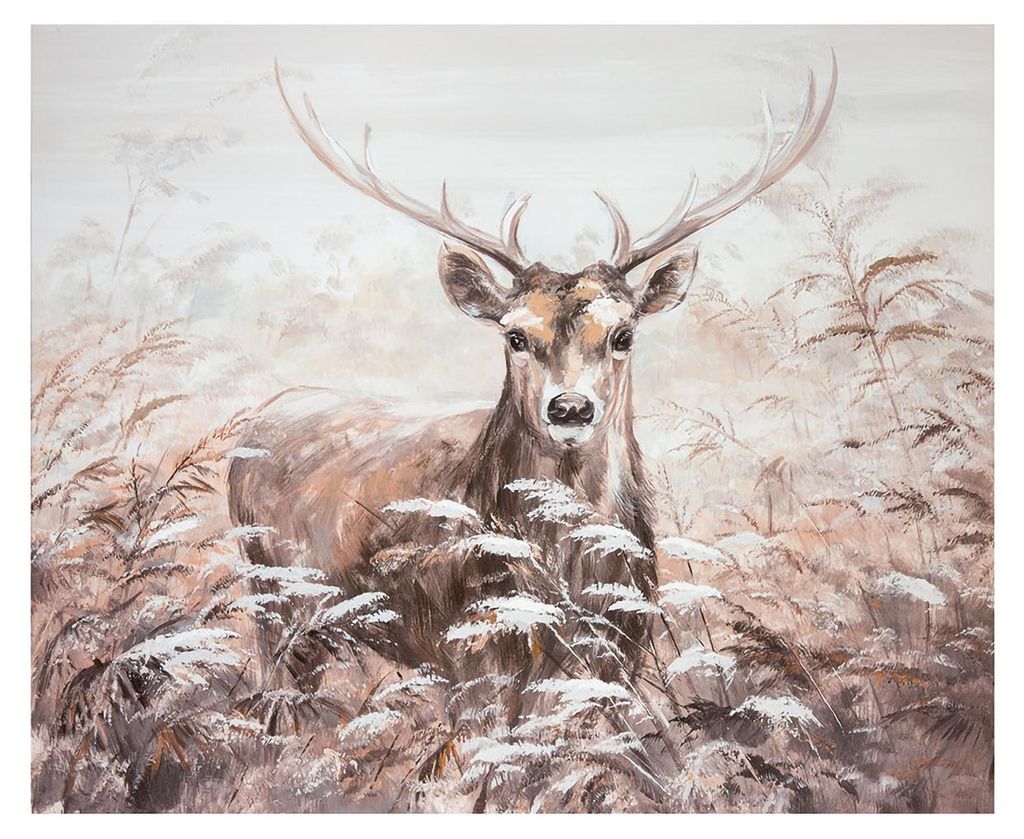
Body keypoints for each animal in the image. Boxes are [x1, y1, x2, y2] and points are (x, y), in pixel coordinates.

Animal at [228, 58, 837, 702]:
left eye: (624, 334)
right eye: (515, 335)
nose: (570, 409)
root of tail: (263, 415)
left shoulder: (623, 651)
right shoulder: (469, 655)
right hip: (271, 599)